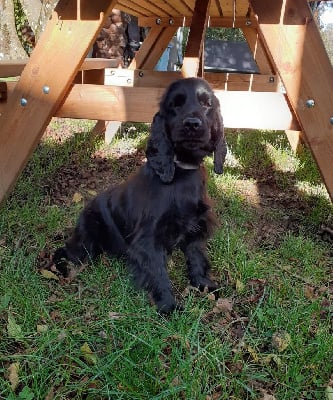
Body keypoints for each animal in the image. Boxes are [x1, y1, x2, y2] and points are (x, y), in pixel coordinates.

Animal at [53, 77, 226, 312]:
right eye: (175, 105)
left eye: (207, 104)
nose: (192, 124)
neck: (181, 170)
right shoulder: (148, 239)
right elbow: (159, 273)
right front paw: (169, 307)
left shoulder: (196, 228)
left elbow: (197, 258)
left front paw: (204, 285)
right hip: (86, 242)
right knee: (64, 251)